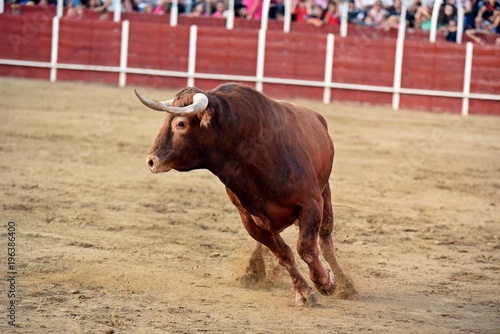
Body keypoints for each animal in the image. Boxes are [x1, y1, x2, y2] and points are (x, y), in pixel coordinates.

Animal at [136, 83, 356, 306]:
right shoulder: (251, 221)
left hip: (325, 193)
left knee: (325, 239)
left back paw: (345, 284)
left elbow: (306, 249)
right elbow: (284, 255)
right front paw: (303, 292)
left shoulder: (311, 205)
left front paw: (325, 282)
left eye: (181, 123)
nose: (151, 161)